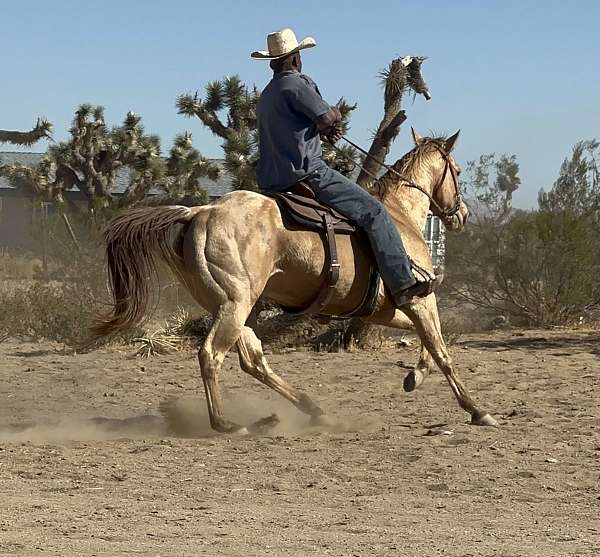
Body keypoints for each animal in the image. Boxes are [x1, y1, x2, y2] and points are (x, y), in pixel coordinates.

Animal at [92, 128, 496, 432]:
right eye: (458, 170)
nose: (461, 214)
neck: (399, 216)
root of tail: (200, 212)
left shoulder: (387, 308)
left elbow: (428, 342)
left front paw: (415, 376)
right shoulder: (418, 298)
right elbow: (442, 349)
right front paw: (477, 410)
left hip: (232, 307)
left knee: (253, 360)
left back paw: (306, 410)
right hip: (235, 305)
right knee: (212, 355)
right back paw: (227, 424)